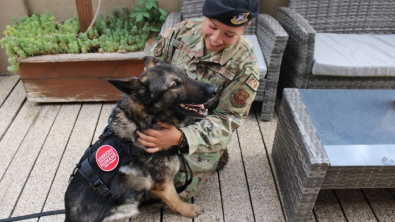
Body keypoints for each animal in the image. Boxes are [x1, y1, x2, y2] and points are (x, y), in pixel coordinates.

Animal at [64, 56, 217, 221]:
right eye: (175, 85)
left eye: (185, 73)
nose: (214, 90)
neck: (146, 121)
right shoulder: (163, 184)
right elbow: (175, 199)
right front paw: (188, 209)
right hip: (127, 207)